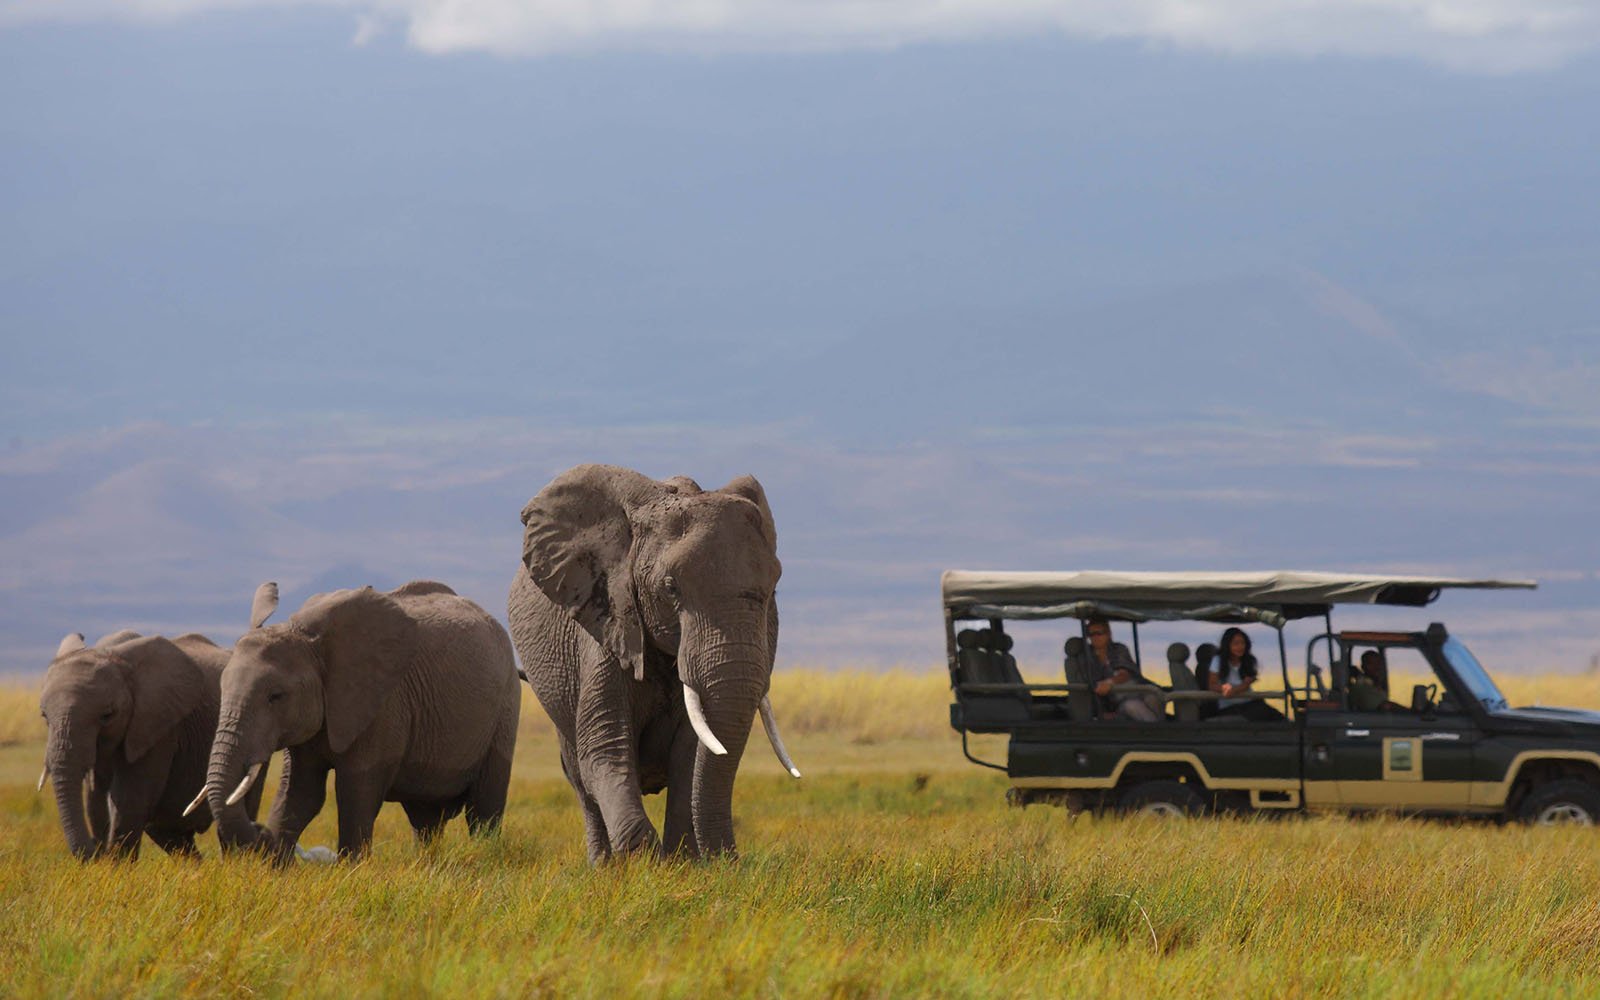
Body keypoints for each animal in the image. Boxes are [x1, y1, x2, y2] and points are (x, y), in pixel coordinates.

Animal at [36, 624, 265, 857]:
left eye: (107, 716)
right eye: (44, 716)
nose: (96, 848)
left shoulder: (158, 725)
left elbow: (128, 799)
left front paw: (115, 863)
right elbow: (95, 801)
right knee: (168, 834)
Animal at [508, 460, 800, 857]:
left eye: (773, 588)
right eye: (670, 588)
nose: (731, 858)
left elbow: (691, 756)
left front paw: (682, 861)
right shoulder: (607, 620)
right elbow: (605, 749)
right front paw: (643, 859)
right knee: (580, 780)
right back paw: (602, 864)